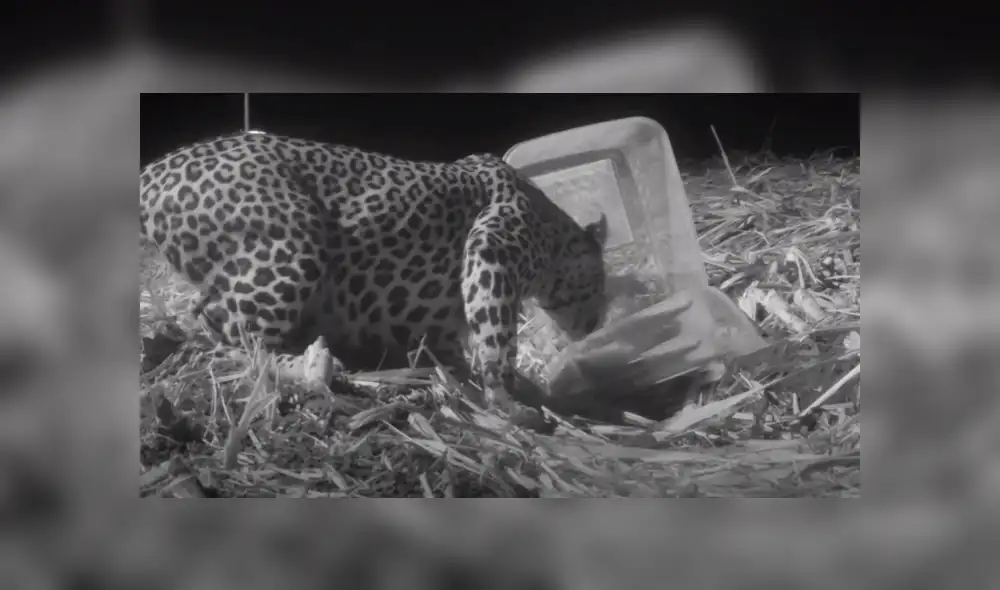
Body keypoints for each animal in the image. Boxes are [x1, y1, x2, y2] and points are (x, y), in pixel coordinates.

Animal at [140, 131, 608, 413]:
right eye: (600, 286)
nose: (596, 325)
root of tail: (151, 171)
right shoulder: (491, 250)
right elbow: (496, 337)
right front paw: (508, 403)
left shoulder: (432, 327)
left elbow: (453, 356)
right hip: (292, 248)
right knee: (223, 336)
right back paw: (316, 365)